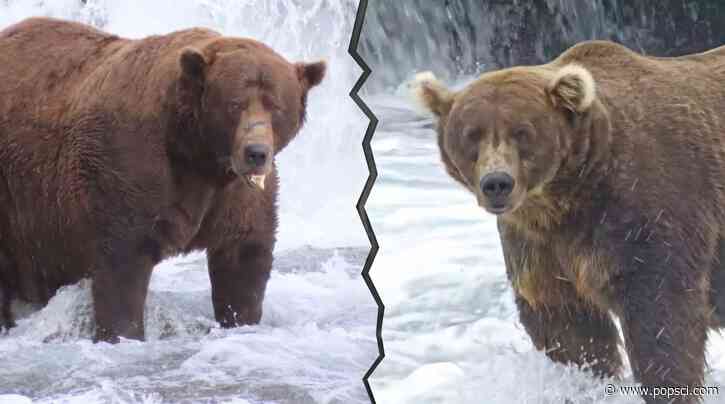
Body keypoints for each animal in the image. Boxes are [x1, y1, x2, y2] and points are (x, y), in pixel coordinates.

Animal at [0, 17, 325, 343]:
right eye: (235, 104)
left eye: (276, 106)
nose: (256, 152)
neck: (197, 154)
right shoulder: (129, 168)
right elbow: (122, 266)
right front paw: (122, 333)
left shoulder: (236, 196)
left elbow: (243, 256)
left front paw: (239, 319)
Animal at [412, 39, 725, 403]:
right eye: (471, 135)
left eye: (522, 132)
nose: (497, 183)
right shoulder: (538, 244)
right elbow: (568, 325)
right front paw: (584, 382)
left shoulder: (650, 211)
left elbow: (662, 315)